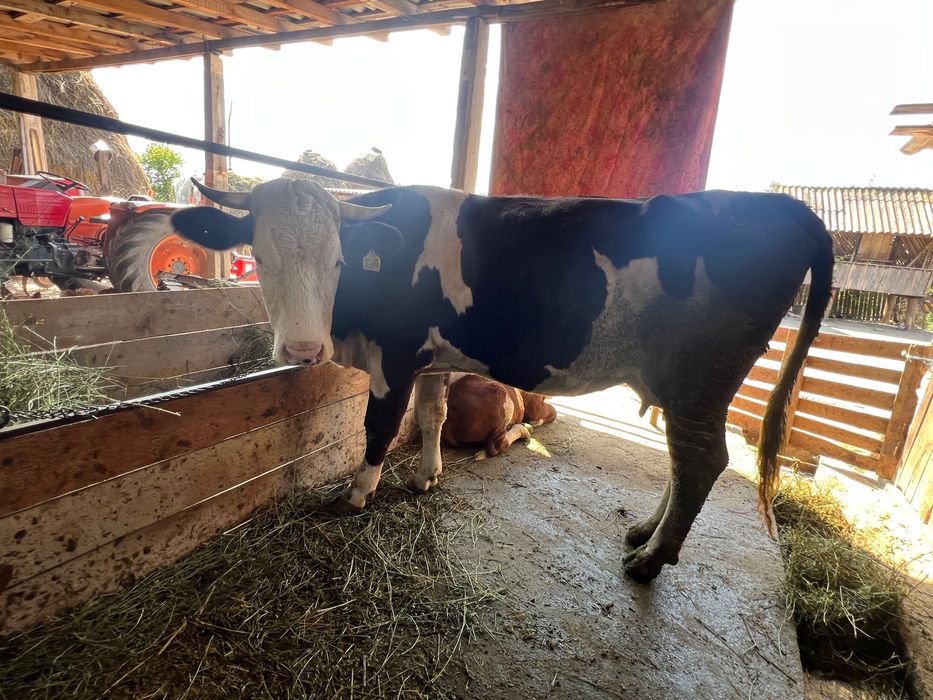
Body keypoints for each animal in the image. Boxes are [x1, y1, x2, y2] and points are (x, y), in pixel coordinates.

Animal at [172, 178, 833, 582]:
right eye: (260, 256)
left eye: (339, 260)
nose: (303, 349)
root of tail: (784, 208)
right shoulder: (432, 360)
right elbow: (433, 415)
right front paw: (427, 478)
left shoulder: (396, 357)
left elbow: (378, 429)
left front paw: (356, 497)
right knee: (685, 461)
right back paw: (645, 532)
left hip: (701, 379)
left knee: (701, 461)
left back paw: (651, 560)